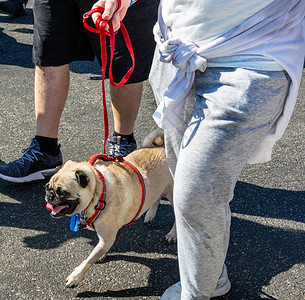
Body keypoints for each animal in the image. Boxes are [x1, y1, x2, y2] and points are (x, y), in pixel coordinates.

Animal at [44, 129, 175, 288]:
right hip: (158, 189)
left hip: (174, 195)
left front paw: (76, 276)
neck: (98, 192)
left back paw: (172, 235)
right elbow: (98, 251)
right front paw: (102, 255)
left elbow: (89, 259)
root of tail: (162, 147)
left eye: (62, 192)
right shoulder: (104, 239)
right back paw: (150, 215)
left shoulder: (107, 238)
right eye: (47, 187)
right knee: (156, 199)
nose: (49, 196)